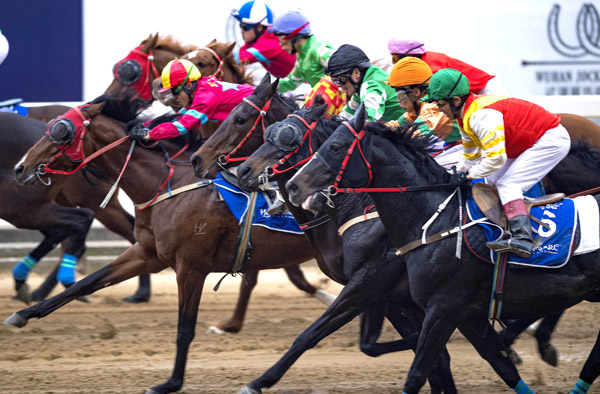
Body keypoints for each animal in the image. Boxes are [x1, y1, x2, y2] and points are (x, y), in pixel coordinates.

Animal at [5, 90, 324, 394]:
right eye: (50, 126)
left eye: (62, 131)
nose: (20, 168)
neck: (164, 185)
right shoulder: (148, 254)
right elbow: (88, 282)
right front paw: (23, 313)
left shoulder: (190, 267)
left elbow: (185, 328)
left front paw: (170, 383)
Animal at [284, 104, 600, 394]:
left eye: (335, 147)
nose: (293, 186)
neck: (435, 219)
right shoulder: (462, 312)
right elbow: (500, 366)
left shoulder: (439, 306)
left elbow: (416, 372)